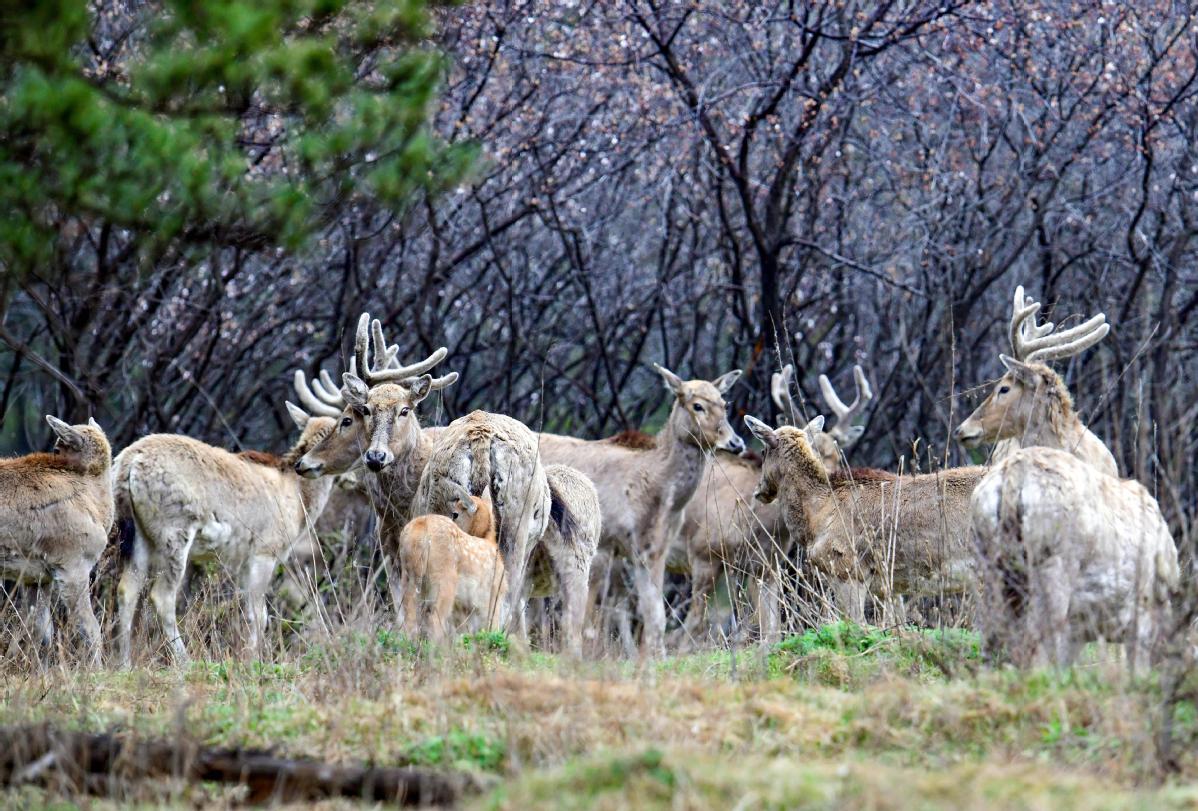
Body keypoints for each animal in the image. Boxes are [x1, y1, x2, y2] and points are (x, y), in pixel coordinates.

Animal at [0, 416, 113, 665]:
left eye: (57, 449)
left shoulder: (37, 577)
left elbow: (40, 630)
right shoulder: (72, 565)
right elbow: (90, 629)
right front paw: (98, 668)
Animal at [113, 403, 337, 665]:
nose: (308, 465)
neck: (297, 496)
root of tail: (128, 462)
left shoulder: (243, 561)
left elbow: (249, 613)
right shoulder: (265, 551)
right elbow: (260, 615)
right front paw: (253, 661)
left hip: (138, 535)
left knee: (126, 590)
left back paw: (124, 663)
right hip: (174, 532)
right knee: (162, 596)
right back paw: (185, 662)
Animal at [537, 363, 744, 657]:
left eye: (725, 403)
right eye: (697, 405)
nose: (736, 442)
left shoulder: (652, 548)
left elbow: (654, 613)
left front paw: (656, 656)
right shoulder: (605, 545)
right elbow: (591, 617)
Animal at [971, 446, 1178, 673]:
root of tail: (1013, 477)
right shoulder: (1140, 611)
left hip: (992, 565)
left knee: (991, 636)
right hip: (1052, 565)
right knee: (1036, 640)